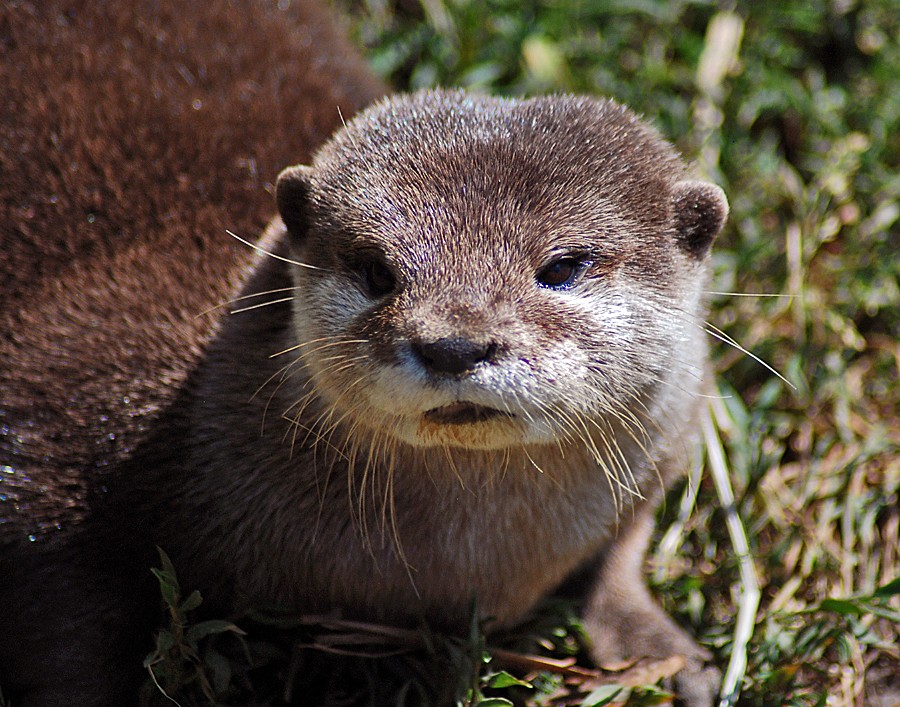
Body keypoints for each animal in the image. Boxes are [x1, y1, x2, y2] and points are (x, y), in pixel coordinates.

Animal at [0, 2, 728, 705]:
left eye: (563, 267)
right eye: (377, 271)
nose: (453, 344)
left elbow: (620, 548)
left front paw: (665, 653)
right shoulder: (53, 432)